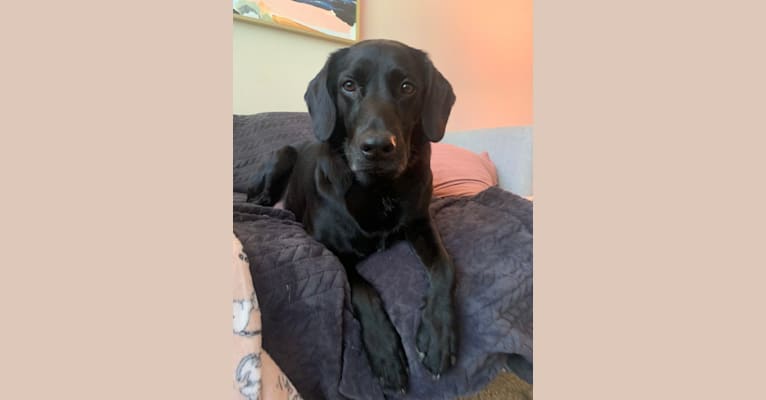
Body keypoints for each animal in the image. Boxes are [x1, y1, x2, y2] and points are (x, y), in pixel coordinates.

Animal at [249, 40, 460, 394]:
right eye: (348, 85)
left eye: (407, 87)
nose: (377, 147)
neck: (378, 189)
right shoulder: (328, 246)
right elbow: (363, 289)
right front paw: (385, 353)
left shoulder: (420, 222)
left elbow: (445, 266)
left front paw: (438, 336)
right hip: (283, 154)